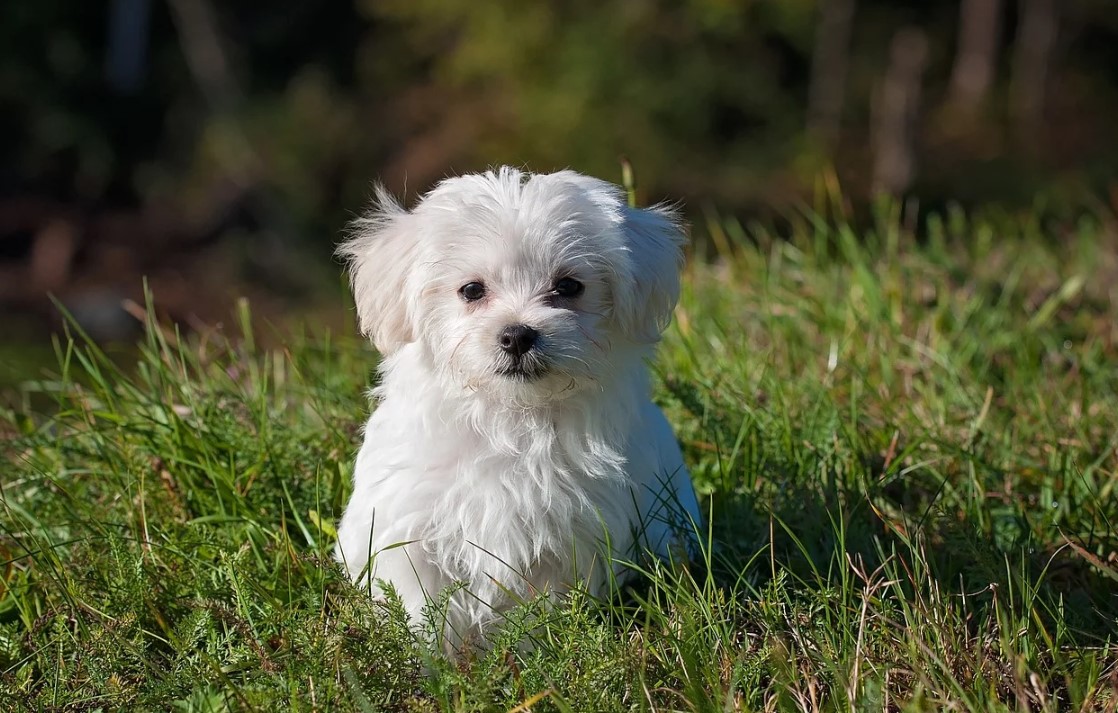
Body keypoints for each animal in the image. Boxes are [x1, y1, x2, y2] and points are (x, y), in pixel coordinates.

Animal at [333, 167, 697, 648]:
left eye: (568, 286)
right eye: (471, 290)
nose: (517, 334)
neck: (511, 418)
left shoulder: (569, 539)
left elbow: (539, 609)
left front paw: (530, 653)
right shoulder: (409, 528)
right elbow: (422, 606)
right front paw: (431, 660)